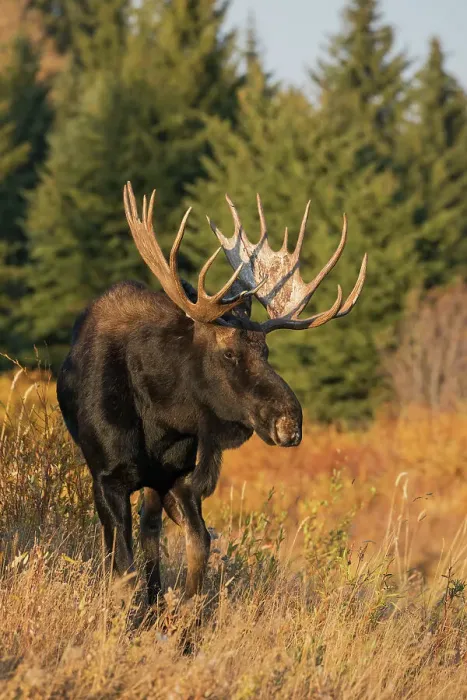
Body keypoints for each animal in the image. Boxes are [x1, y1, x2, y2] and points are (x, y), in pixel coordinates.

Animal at [57, 182, 367, 608]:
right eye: (228, 352)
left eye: (266, 351)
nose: (290, 422)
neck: (162, 420)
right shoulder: (107, 477)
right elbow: (122, 568)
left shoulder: (179, 477)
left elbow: (198, 547)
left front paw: (184, 614)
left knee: (151, 536)